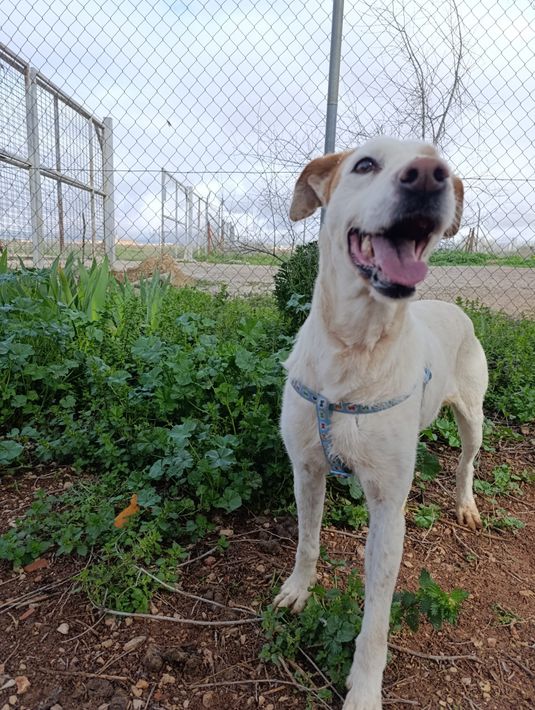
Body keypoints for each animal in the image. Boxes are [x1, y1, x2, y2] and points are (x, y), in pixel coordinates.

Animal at [274, 137, 488, 710]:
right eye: (365, 164)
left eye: (442, 165)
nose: (431, 175)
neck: (354, 350)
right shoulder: (307, 470)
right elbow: (308, 540)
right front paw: (298, 590)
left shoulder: (389, 510)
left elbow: (377, 617)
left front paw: (365, 687)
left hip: (473, 417)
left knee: (466, 461)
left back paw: (465, 503)